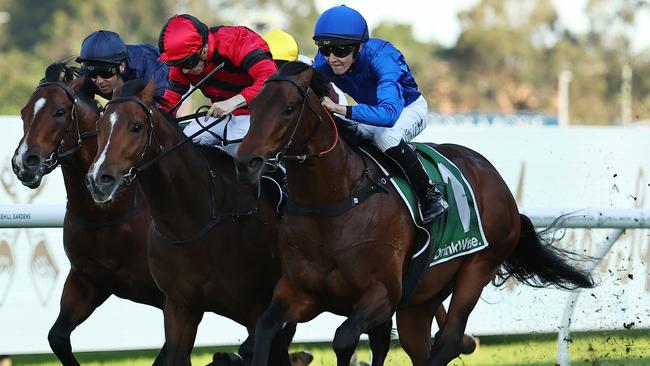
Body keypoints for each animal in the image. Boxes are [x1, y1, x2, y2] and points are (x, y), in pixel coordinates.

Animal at [11, 61, 168, 364]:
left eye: (60, 112)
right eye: (24, 112)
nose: (24, 163)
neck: (107, 214)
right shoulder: (87, 282)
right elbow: (57, 337)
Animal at [233, 61, 592, 364]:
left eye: (288, 109)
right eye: (252, 106)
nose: (246, 162)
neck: (335, 204)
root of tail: (494, 177)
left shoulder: (382, 294)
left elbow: (345, 339)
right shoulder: (299, 291)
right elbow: (265, 328)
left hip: (478, 267)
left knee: (450, 339)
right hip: (421, 299)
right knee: (420, 345)